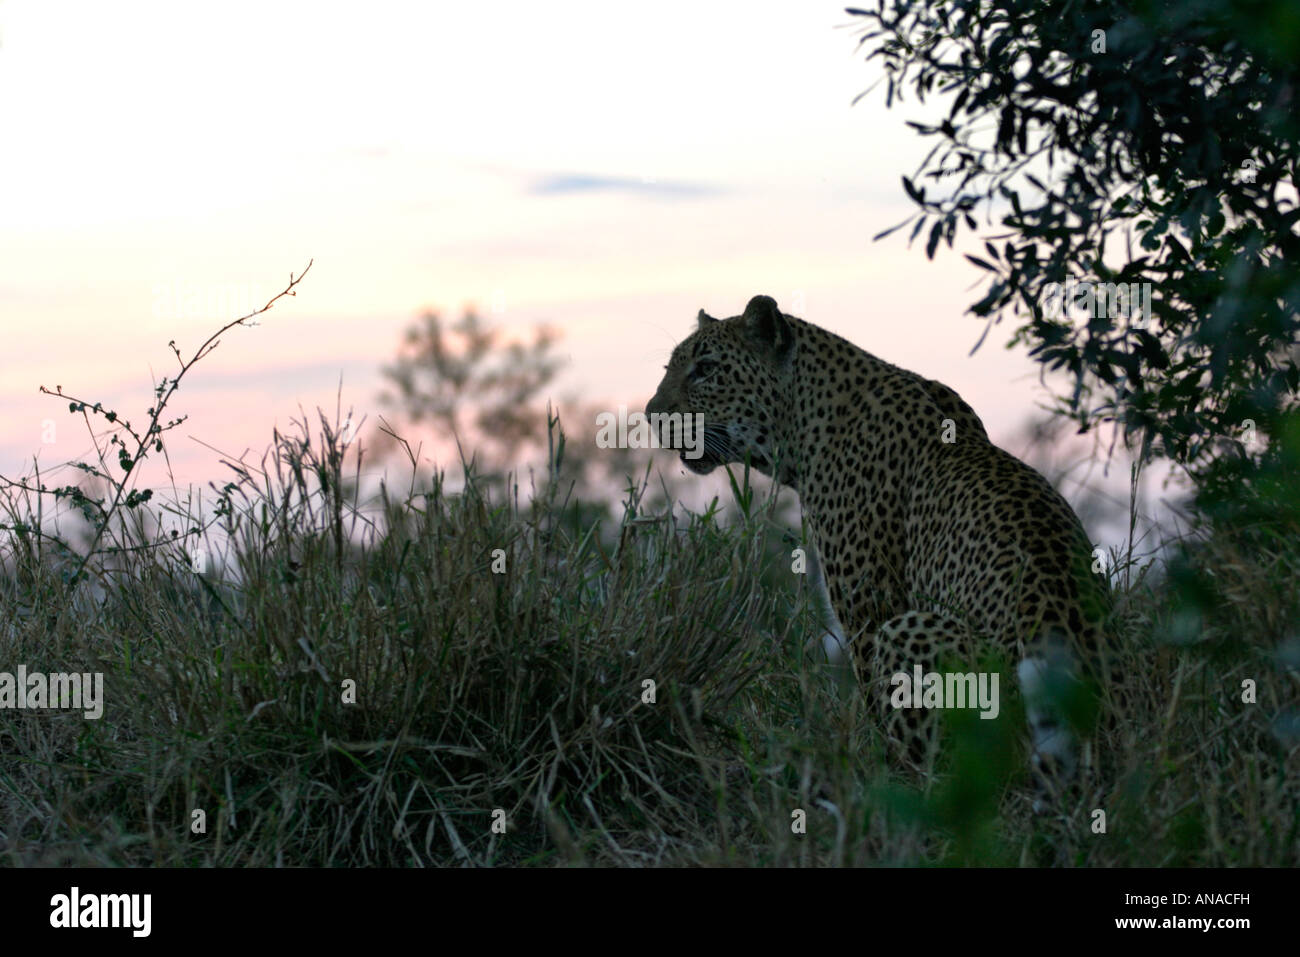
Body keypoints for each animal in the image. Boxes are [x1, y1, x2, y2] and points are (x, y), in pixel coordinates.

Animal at [644, 293, 1123, 806]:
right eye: (671, 366)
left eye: (706, 369)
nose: (652, 414)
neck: (803, 423)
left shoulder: (870, 607)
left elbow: (874, 697)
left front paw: (873, 773)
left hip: (913, 633)